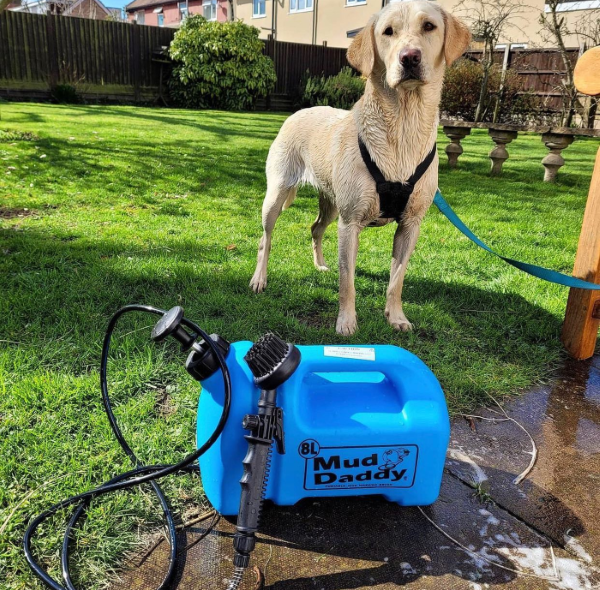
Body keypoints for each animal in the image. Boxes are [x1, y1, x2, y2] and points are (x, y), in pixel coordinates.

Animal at [248, 0, 468, 338]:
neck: (402, 126)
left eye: (429, 26)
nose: (410, 57)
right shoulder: (350, 223)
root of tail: (298, 111)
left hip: (331, 203)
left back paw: (319, 264)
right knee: (265, 239)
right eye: (388, 32)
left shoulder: (411, 225)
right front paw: (346, 321)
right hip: (277, 196)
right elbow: (347, 280)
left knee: (315, 228)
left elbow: (397, 279)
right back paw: (259, 279)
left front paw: (396, 316)